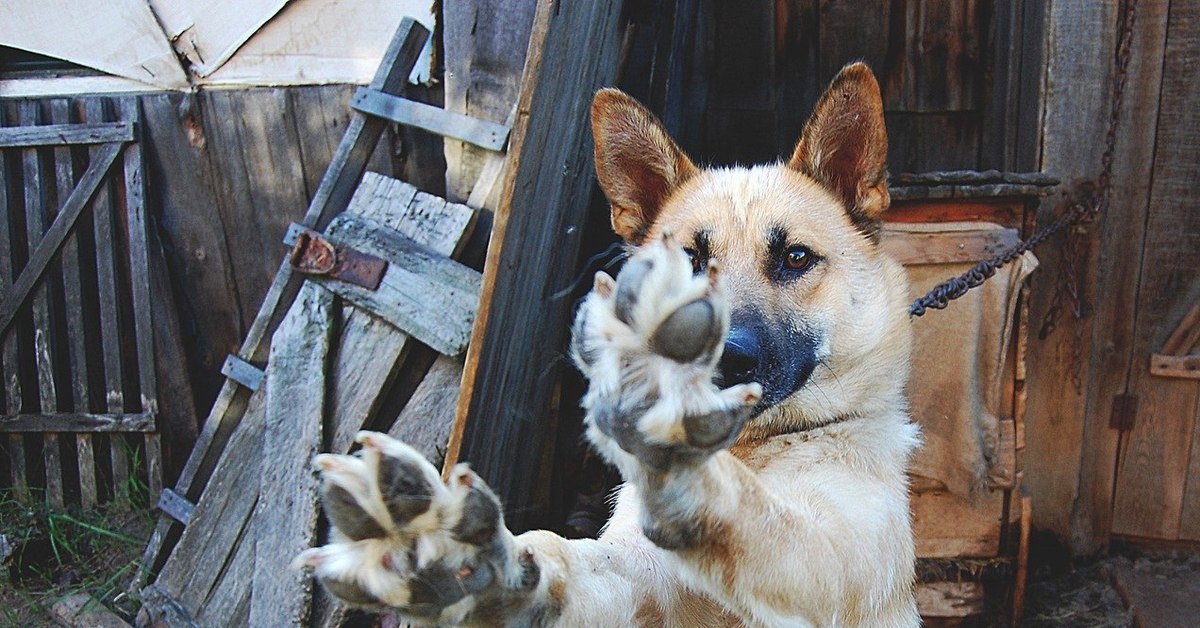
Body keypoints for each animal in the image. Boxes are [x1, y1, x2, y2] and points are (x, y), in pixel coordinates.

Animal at [292, 61, 916, 624]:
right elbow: (573, 559)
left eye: (795, 258)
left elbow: (767, 520)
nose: (716, 362)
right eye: (686, 262)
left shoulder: (835, 564)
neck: (753, 448)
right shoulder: (638, 576)